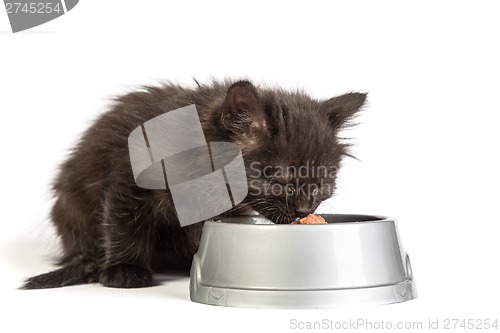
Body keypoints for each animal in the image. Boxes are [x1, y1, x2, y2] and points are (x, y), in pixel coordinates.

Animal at [21, 79, 366, 286]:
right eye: (280, 178)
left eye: (323, 182)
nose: (304, 209)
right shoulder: (129, 181)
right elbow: (124, 224)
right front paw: (125, 269)